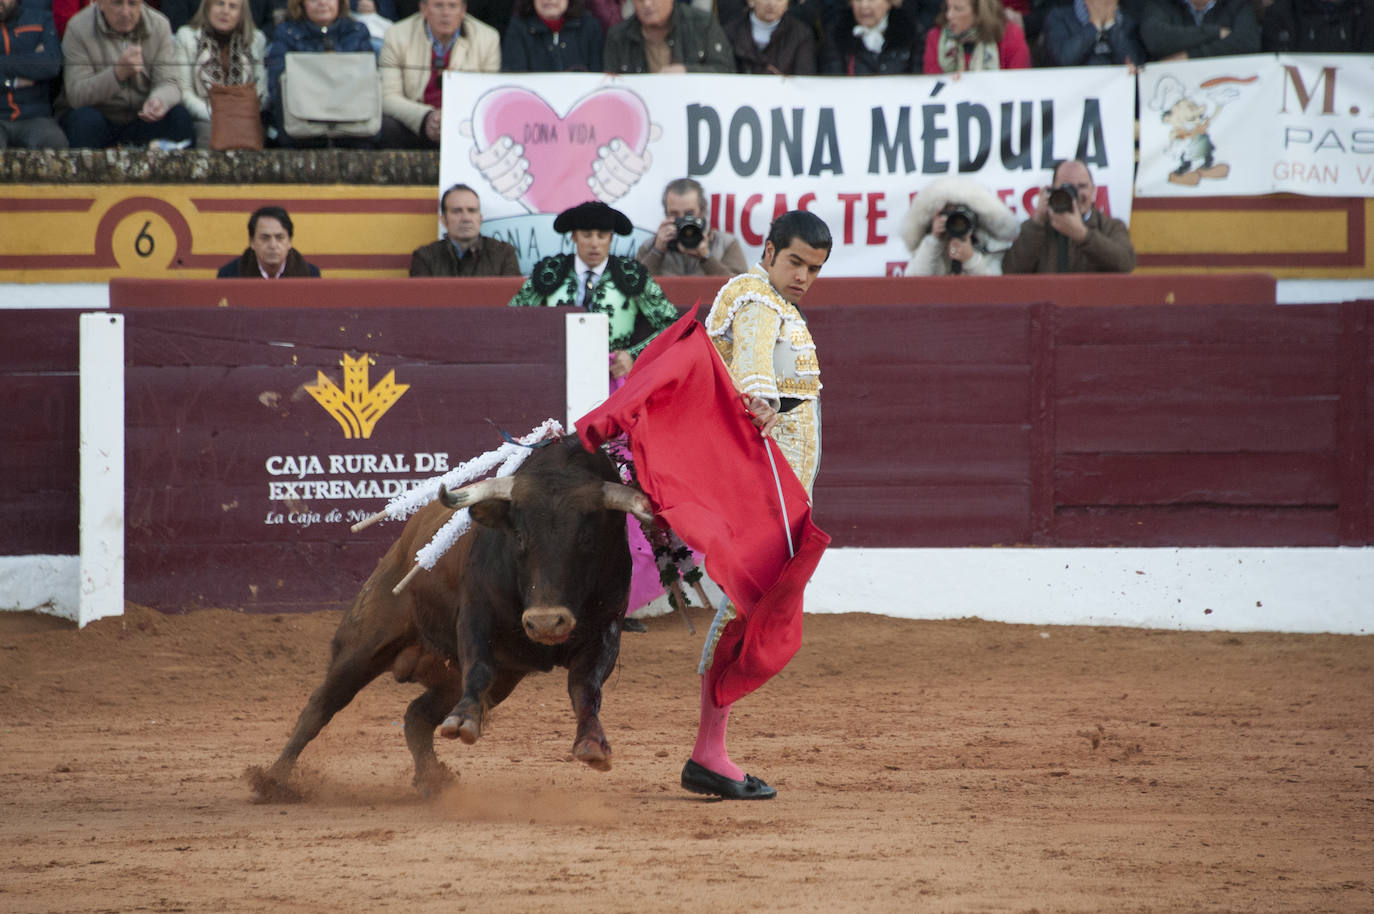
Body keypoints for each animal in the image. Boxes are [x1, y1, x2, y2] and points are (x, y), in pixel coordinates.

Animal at [248, 434, 654, 797]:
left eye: (587, 539)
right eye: (520, 536)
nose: (545, 623)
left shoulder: (604, 632)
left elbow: (585, 687)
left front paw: (592, 743)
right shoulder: (475, 617)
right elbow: (479, 667)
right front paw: (463, 722)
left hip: (470, 678)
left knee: (417, 715)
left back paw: (432, 779)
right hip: (364, 642)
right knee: (323, 704)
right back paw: (272, 780)